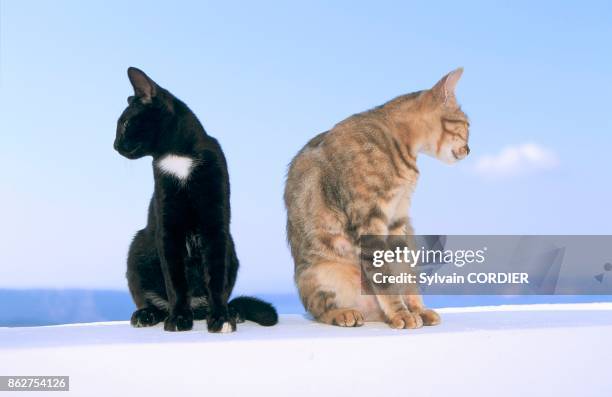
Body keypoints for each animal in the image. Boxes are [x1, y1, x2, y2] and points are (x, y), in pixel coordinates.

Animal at [113, 67, 278, 332]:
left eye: (125, 123)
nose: (115, 145)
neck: (179, 157)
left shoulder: (215, 221)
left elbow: (216, 277)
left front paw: (220, 317)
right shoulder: (168, 225)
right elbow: (175, 279)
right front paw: (179, 318)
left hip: (231, 248)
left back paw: (231, 311)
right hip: (138, 248)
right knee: (150, 296)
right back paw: (147, 314)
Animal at [284, 67, 468, 328]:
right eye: (466, 125)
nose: (469, 149)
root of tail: (370, 312)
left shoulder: (398, 220)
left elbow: (399, 275)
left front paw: (410, 310)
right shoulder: (369, 221)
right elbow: (385, 279)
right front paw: (401, 314)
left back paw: (418, 311)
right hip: (319, 272)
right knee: (320, 310)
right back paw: (344, 313)